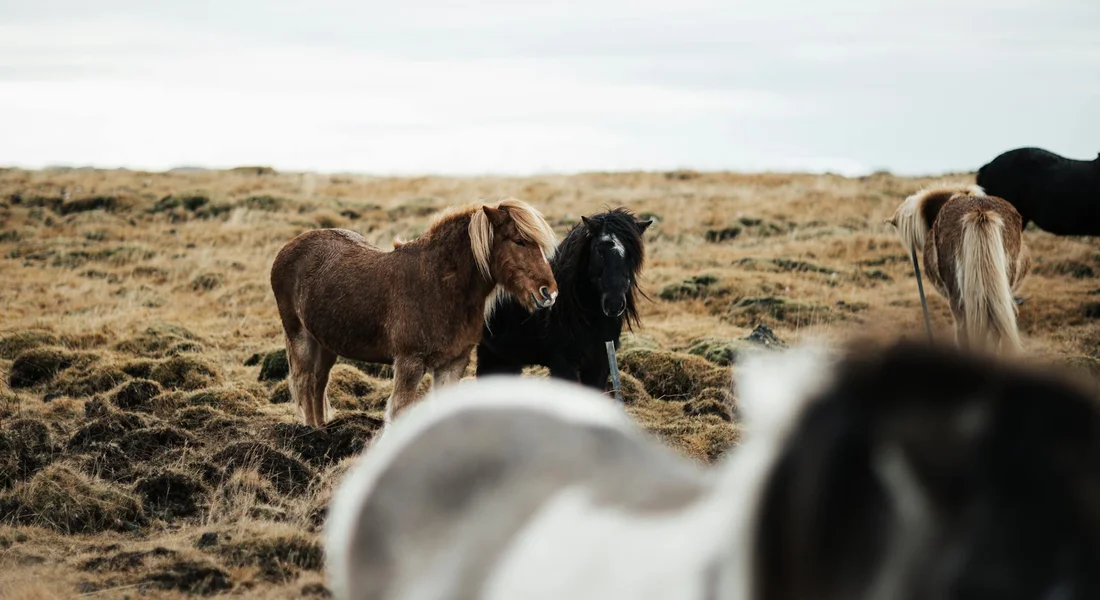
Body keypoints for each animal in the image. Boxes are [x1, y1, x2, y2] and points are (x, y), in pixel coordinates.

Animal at [269, 197, 559, 428]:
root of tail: (288, 248)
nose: (549, 293)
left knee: (319, 383)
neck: (440, 285)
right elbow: (398, 410)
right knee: (305, 382)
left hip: (326, 343)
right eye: (519, 241)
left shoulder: (454, 363)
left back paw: (322, 429)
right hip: (300, 336)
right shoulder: (410, 362)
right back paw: (311, 432)